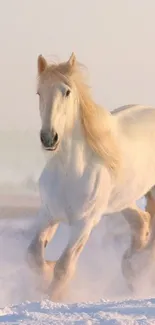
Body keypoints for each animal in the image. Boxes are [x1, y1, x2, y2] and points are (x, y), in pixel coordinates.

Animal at [27, 52, 155, 300]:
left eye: (67, 92)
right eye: (39, 92)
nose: (49, 138)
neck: (69, 170)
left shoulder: (84, 223)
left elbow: (64, 266)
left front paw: (53, 297)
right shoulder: (48, 213)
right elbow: (34, 256)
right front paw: (45, 275)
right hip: (122, 199)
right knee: (142, 221)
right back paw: (131, 267)